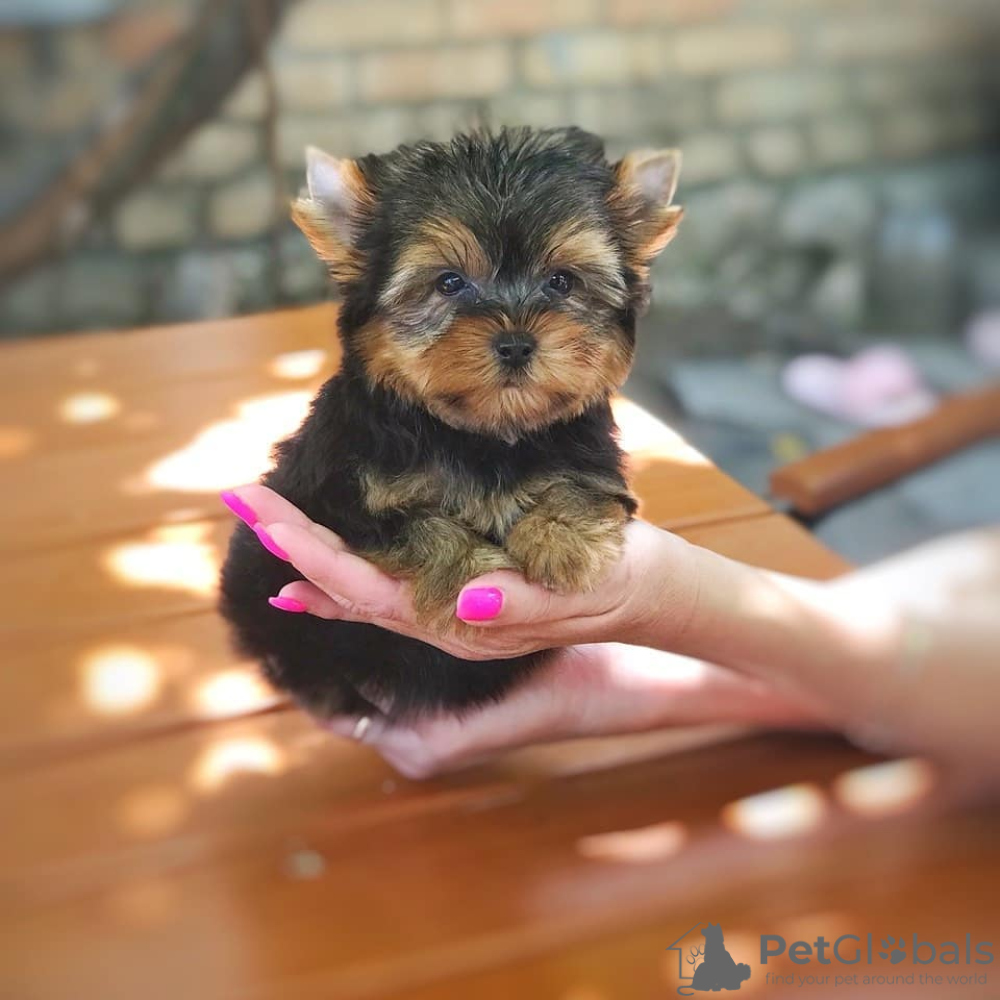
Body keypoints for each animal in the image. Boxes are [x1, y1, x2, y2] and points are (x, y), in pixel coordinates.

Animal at [219, 126, 683, 723]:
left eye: (561, 281)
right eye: (449, 283)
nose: (515, 342)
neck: (483, 436)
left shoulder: (592, 458)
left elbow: (578, 485)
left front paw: (564, 536)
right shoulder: (332, 494)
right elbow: (413, 524)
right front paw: (467, 569)